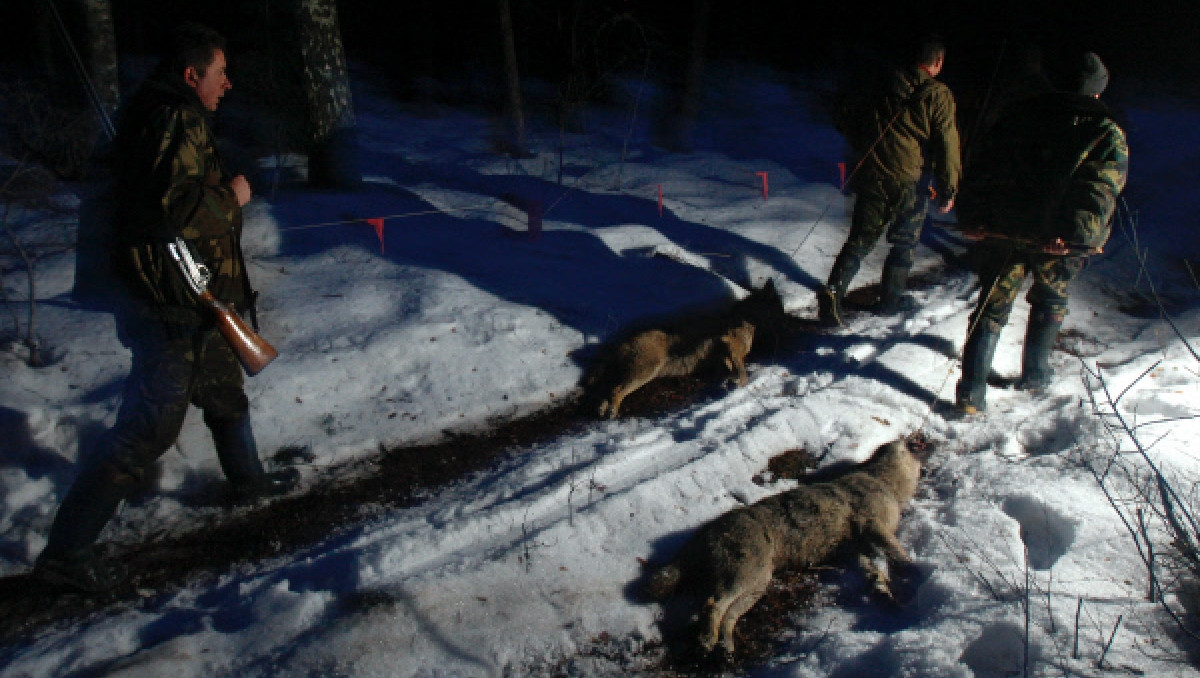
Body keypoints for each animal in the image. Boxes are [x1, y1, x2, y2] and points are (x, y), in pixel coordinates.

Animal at [583, 277, 787, 415]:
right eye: (779, 308)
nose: (786, 320)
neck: (746, 318)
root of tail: (621, 342)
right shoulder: (729, 344)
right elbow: (743, 373)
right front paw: (737, 382)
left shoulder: (724, 354)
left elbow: (733, 369)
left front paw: (729, 381)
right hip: (646, 372)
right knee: (616, 391)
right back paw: (612, 411)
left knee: (607, 390)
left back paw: (602, 409)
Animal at [648, 439, 916, 657]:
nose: (915, 442)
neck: (881, 480)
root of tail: (707, 528)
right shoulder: (872, 525)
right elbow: (898, 554)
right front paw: (917, 571)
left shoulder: (857, 550)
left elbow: (874, 573)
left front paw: (885, 595)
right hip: (747, 576)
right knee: (713, 604)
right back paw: (707, 642)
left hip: (756, 584)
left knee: (729, 614)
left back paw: (725, 647)